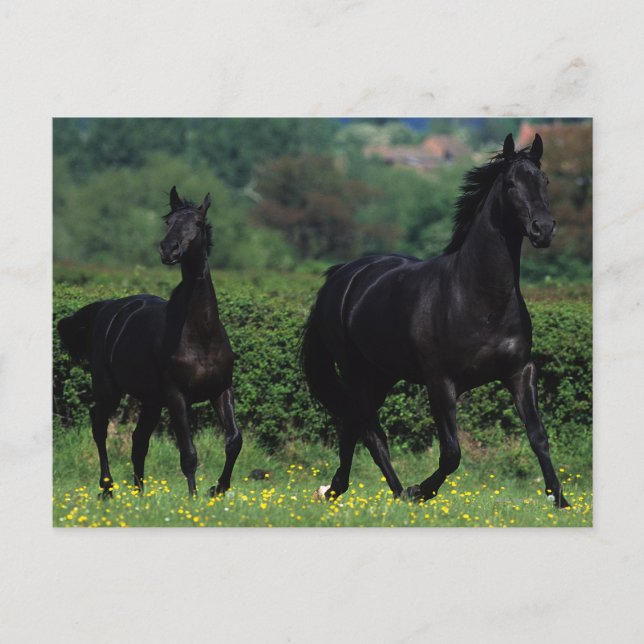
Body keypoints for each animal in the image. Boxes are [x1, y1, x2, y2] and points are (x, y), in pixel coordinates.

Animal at [57, 186, 243, 498]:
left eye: (198, 223)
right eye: (169, 222)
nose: (169, 249)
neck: (201, 335)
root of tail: (108, 308)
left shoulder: (221, 390)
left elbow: (234, 441)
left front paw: (217, 489)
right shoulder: (176, 397)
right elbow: (188, 453)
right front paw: (194, 498)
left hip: (151, 400)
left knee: (138, 440)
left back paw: (139, 494)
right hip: (109, 389)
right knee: (99, 426)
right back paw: (107, 488)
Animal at [301, 133, 570, 508]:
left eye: (544, 181)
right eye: (511, 184)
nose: (543, 229)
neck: (479, 299)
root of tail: (340, 276)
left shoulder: (519, 372)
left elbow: (538, 436)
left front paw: (561, 501)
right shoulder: (440, 382)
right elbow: (451, 453)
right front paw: (421, 491)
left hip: (382, 375)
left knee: (354, 427)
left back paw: (346, 490)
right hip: (355, 371)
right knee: (369, 432)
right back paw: (391, 492)